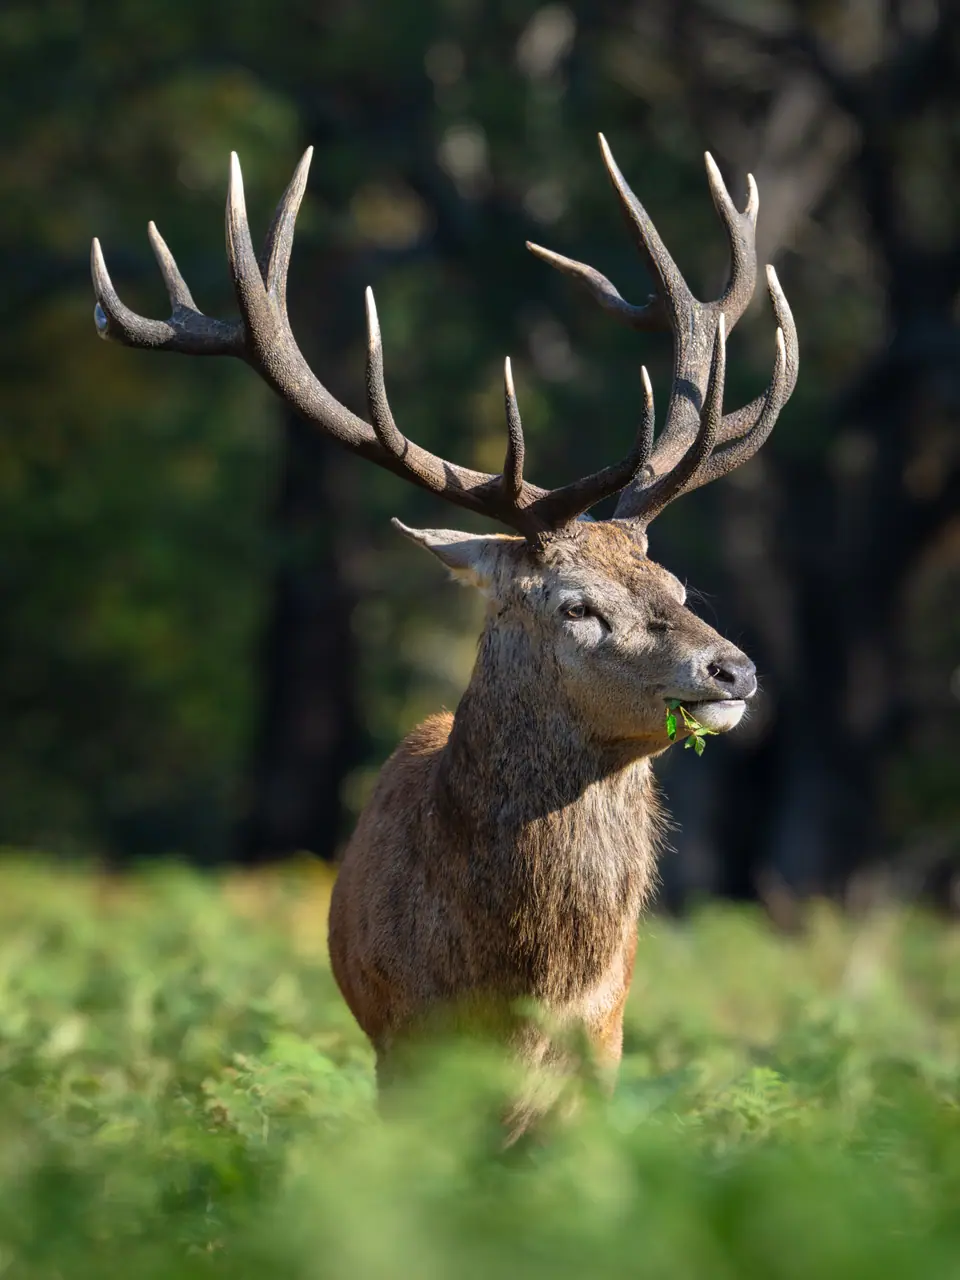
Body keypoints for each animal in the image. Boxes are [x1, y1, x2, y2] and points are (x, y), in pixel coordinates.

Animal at [91, 133, 798, 1136]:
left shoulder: (606, 1050)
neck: (518, 988)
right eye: (574, 605)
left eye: (673, 582)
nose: (732, 668)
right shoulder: (404, 1044)